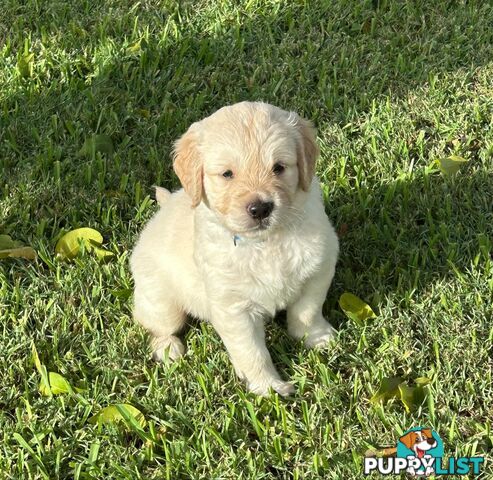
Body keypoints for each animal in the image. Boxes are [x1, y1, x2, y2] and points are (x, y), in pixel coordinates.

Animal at [130, 100, 338, 394]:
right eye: (227, 174)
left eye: (279, 167)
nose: (260, 208)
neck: (265, 243)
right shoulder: (233, 307)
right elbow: (251, 351)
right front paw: (268, 387)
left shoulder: (319, 269)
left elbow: (307, 311)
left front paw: (317, 338)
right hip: (161, 302)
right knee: (155, 325)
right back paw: (168, 349)